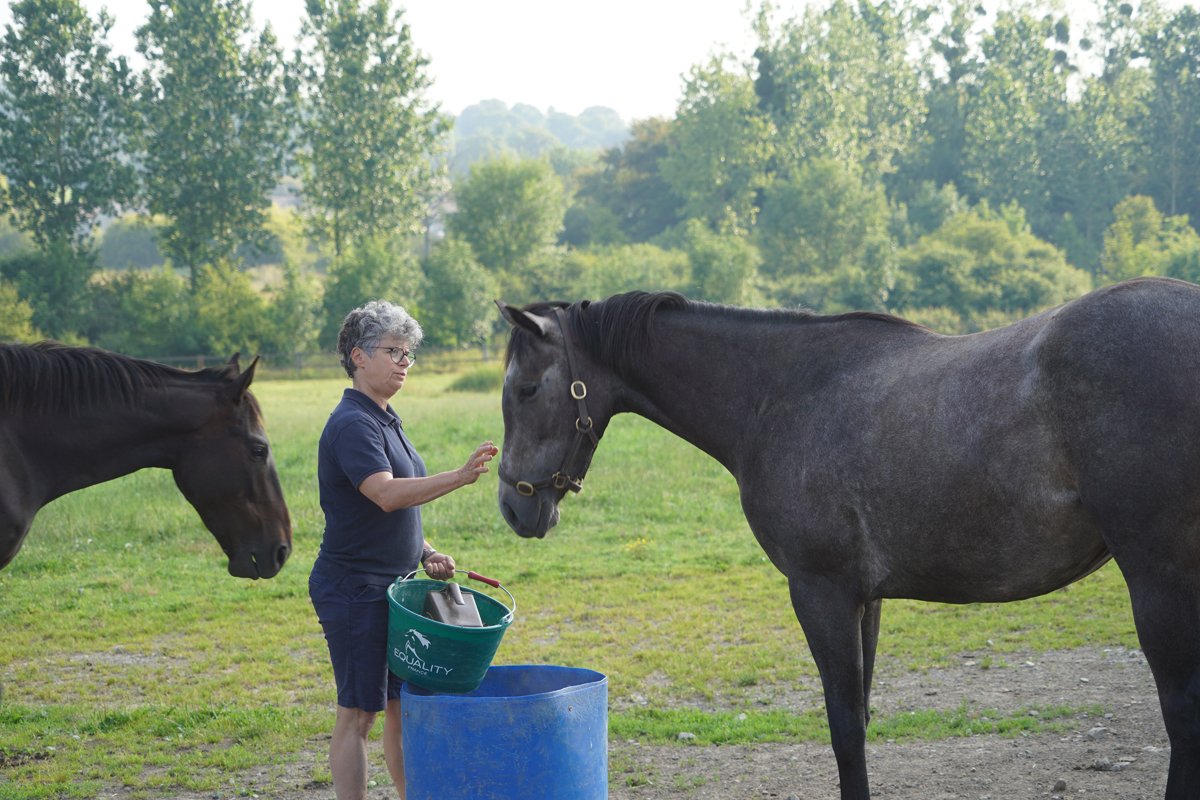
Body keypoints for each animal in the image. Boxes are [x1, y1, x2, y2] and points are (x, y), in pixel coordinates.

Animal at [495, 276, 1200, 800]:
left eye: (526, 389)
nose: (512, 506)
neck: (780, 395)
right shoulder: (868, 599)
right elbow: (859, 716)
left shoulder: (822, 592)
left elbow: (844, 732)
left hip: (1158, 582)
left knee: (1182, 714)